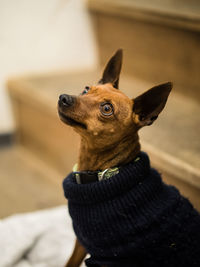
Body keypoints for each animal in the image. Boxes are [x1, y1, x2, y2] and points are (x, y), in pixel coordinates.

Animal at [57, 50, 200, 267]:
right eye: (86, 89)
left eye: (107, 109)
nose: (64, 98)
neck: (103, 173)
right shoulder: (81, 243)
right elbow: (69, 262)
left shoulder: (106, 258)